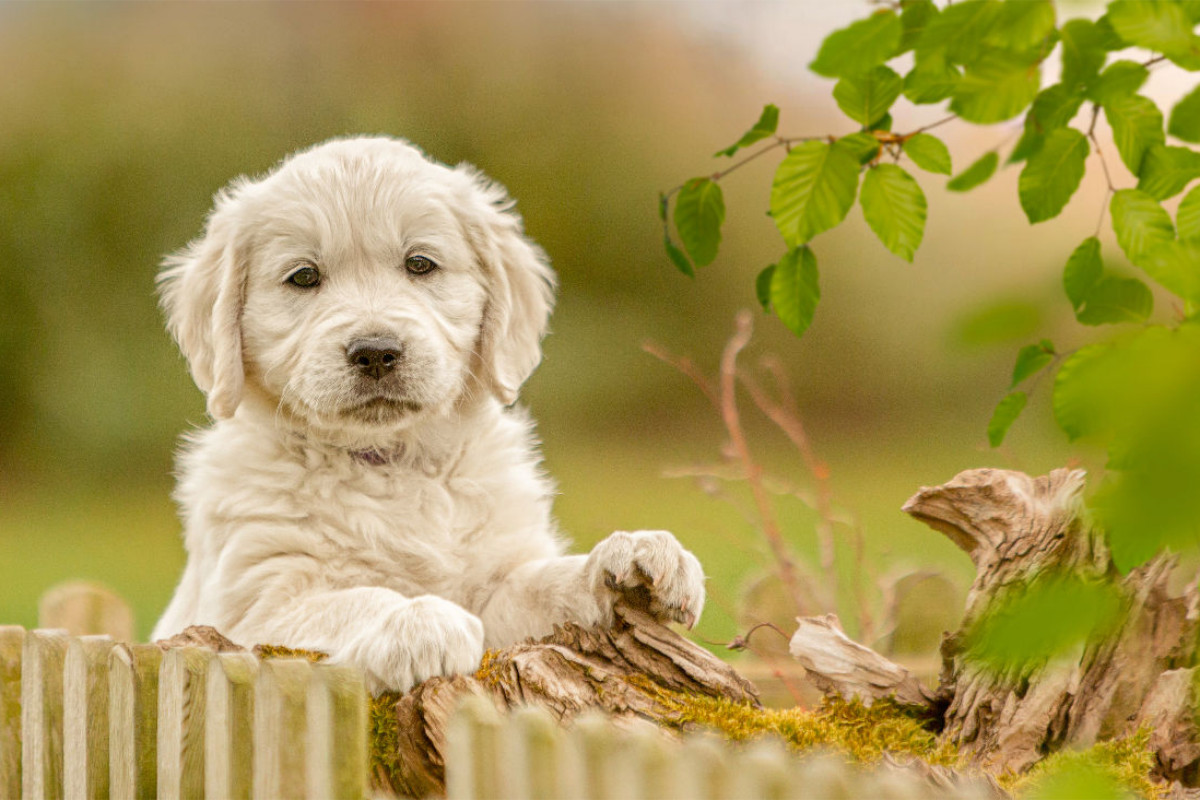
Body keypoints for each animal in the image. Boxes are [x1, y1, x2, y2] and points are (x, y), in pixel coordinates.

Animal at [154, 134, 705, 690]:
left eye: (420, 264)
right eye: (303, 276)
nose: (376, 352)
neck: (393, 462)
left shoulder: (495, 590)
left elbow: (540, 584)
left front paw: (631, 558)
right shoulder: (253, 607)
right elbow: (351, 601)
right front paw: (416, 619)